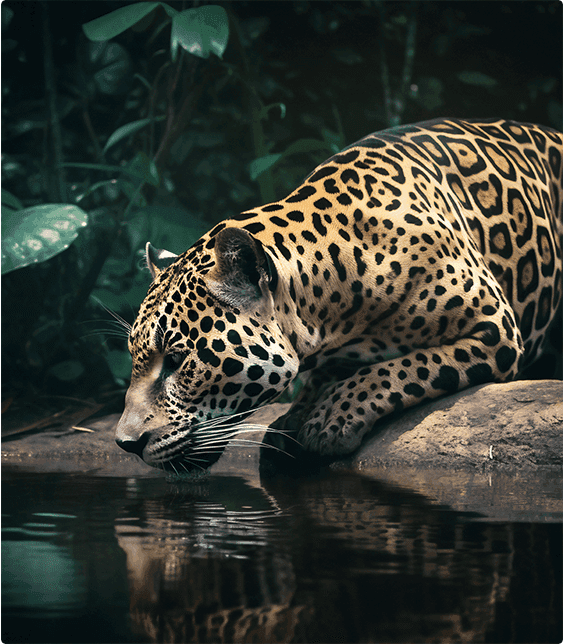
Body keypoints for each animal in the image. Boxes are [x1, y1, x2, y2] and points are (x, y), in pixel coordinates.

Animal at [115, 118, 563, 472]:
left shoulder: (496, 329)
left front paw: (333, 415)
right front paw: (295, 417)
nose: (125, 444)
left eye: (176, 361)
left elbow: (407, 365)